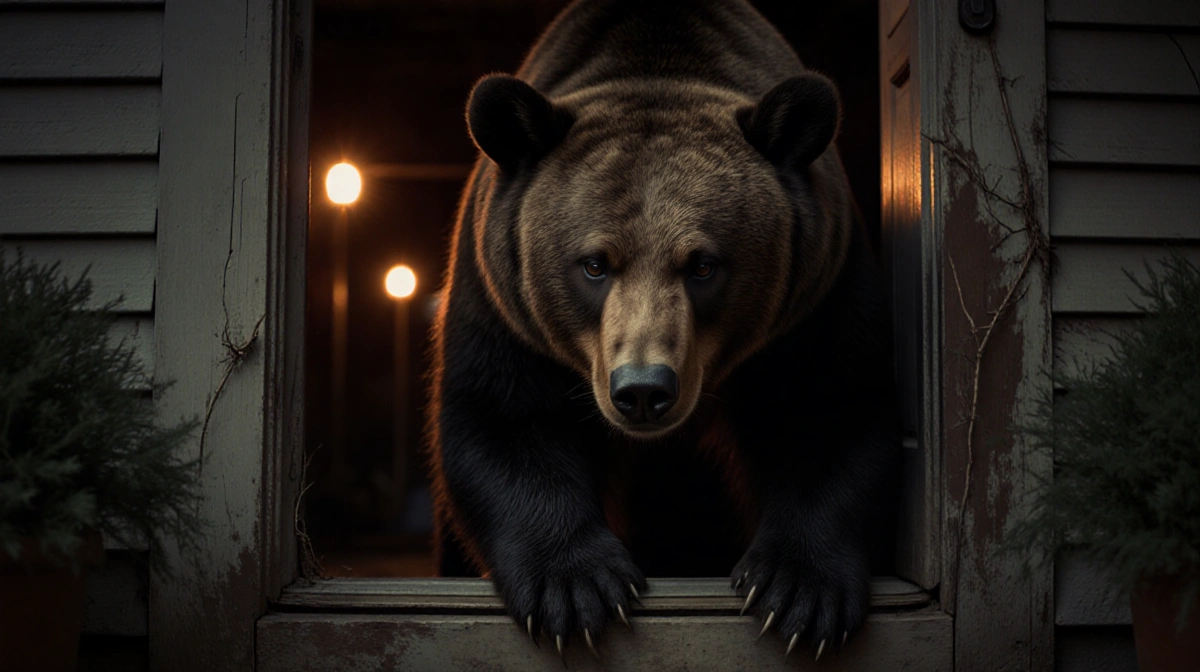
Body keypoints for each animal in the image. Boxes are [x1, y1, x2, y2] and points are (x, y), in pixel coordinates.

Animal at [427, 0, 899, 659]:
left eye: (702, 264)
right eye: (594, 263)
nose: (644, 390)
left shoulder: (817, 301)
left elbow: (831, 414)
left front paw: (800, 594)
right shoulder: (503, 306)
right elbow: (505, 420)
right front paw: (577, 591)